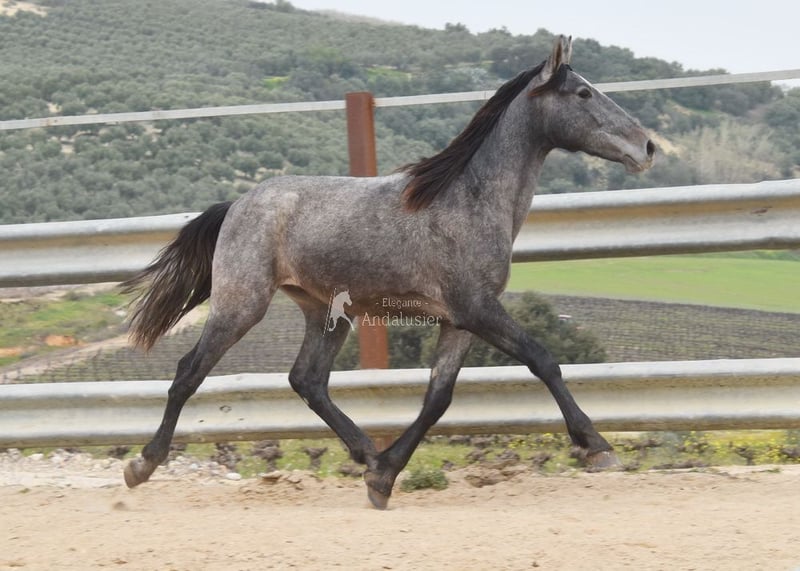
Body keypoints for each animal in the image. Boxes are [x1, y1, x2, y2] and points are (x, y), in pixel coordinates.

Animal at [121, 36, 655, 509]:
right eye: (582, 93)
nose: (647, 146)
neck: (469, 201)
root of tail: (236, 204)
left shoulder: (459, 321)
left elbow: (438, 398)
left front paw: (383, 477)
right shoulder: (478, 309)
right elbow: (543, 360)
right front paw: (597, 447)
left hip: (327, 314)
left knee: (307, 380)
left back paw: (366, 453)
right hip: (242, 303)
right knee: (189, 371)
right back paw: (141, 465)